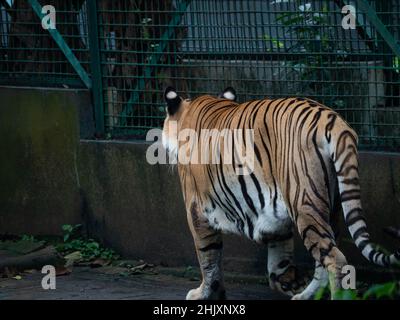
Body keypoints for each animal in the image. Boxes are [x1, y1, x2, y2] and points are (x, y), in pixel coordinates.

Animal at [161, 85, 398, 300]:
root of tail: (333, 119)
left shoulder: (197, 211)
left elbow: (208, 258)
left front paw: (205, 293)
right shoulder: (274, 218)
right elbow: (277, 262)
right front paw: (289, 282)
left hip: (304, 203)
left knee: (335, 259)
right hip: (332, 206)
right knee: (324, 258)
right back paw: (305, 295)